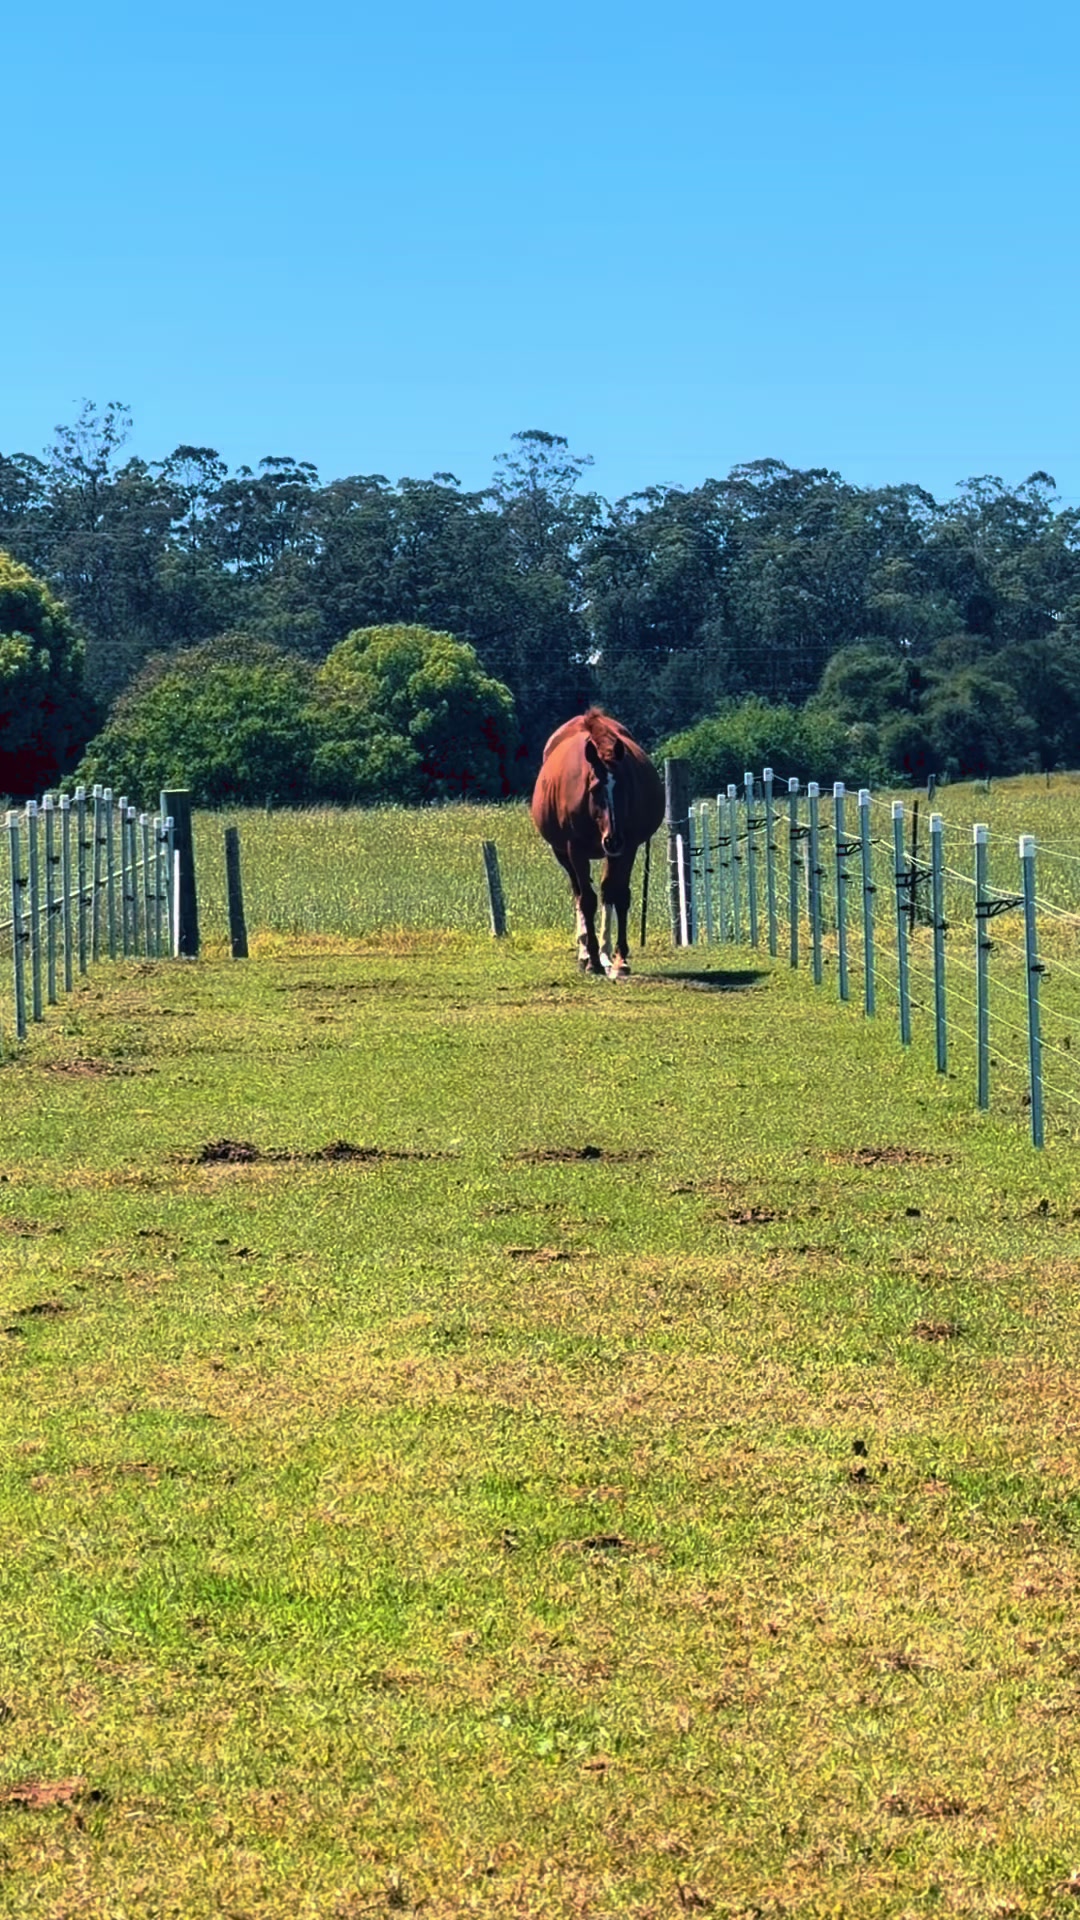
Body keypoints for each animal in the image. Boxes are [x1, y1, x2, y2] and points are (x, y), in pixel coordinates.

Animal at [530, 709, 665, 976]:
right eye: (594, 790)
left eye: (624, 788)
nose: (612, 840)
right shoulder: (575, 849)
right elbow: (587, 900)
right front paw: (591, 960)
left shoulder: (628, 847)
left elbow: (618, 895)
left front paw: (620, 959)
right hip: (564, 854)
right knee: (579, 895)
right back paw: (585, 955)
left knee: (606, 892)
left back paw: (605, 953)